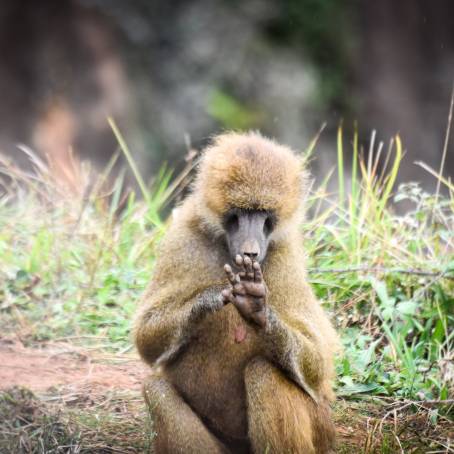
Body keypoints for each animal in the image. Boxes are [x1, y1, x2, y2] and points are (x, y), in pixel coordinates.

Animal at [135, 131, 340, 454]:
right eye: (240, 214)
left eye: (263, 215)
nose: (251, 252)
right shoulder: (182, 239)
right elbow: (146, 338)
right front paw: (208, 299)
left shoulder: (287, 259)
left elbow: (318, 363)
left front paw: (258, 310)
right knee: (156, 390)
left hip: (321, 428)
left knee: (264, 374)